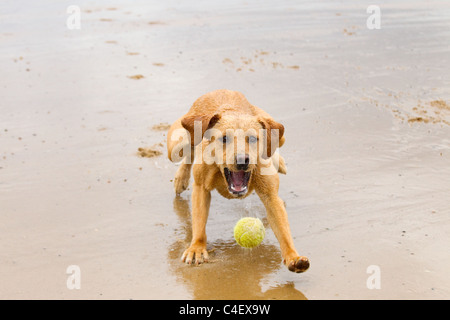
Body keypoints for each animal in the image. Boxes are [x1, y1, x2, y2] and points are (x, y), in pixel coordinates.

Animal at [167, 89, 312, 272]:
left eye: (253, 138)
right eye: (224, 138)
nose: (243, 160)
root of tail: (220, 90)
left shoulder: (271, 197)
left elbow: (283, 230)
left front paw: (293, 256)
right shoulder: (201, 188)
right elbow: (199, 223)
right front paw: (196, 248)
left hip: (277, 131)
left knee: (274, 144)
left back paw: (278, 161)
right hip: (175, 145)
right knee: (188, 150)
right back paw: (181, 177)